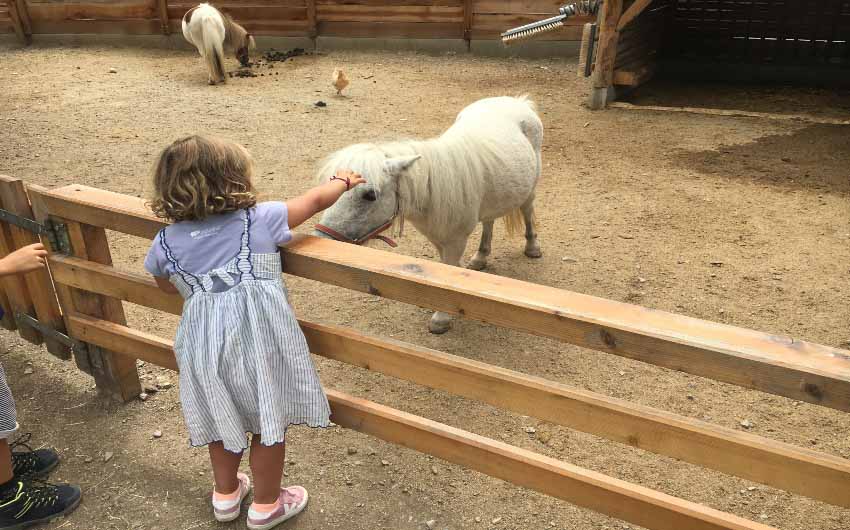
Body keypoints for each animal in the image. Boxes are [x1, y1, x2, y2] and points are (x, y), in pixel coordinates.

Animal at [314, 95, 544, 332]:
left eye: (370, 195)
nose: (322, 239)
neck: (432, 191)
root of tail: (517, 101)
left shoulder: (455, 241)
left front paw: (442, 318)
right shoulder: (437, 238)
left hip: (530, 189)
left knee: (527, 211)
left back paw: (532, 247)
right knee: (489, 221)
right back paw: (480, 257)